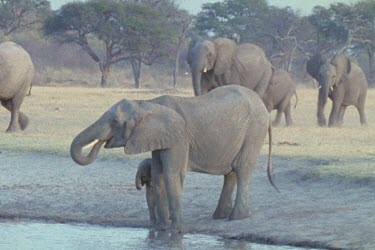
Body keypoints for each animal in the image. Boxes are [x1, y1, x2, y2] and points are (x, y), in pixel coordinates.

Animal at [71, 85, 276, 232]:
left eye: (115, 122)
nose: (100, 143)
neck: (147, 103)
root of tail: (263, 106)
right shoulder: (158, 137)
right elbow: (158, 174)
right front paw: (162, 229)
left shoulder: (179, 138)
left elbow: (172, 174)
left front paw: (176, 231)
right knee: (230, 173)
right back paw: (220, 216)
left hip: (254, 131)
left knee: (242, 169)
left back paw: (237, 218)